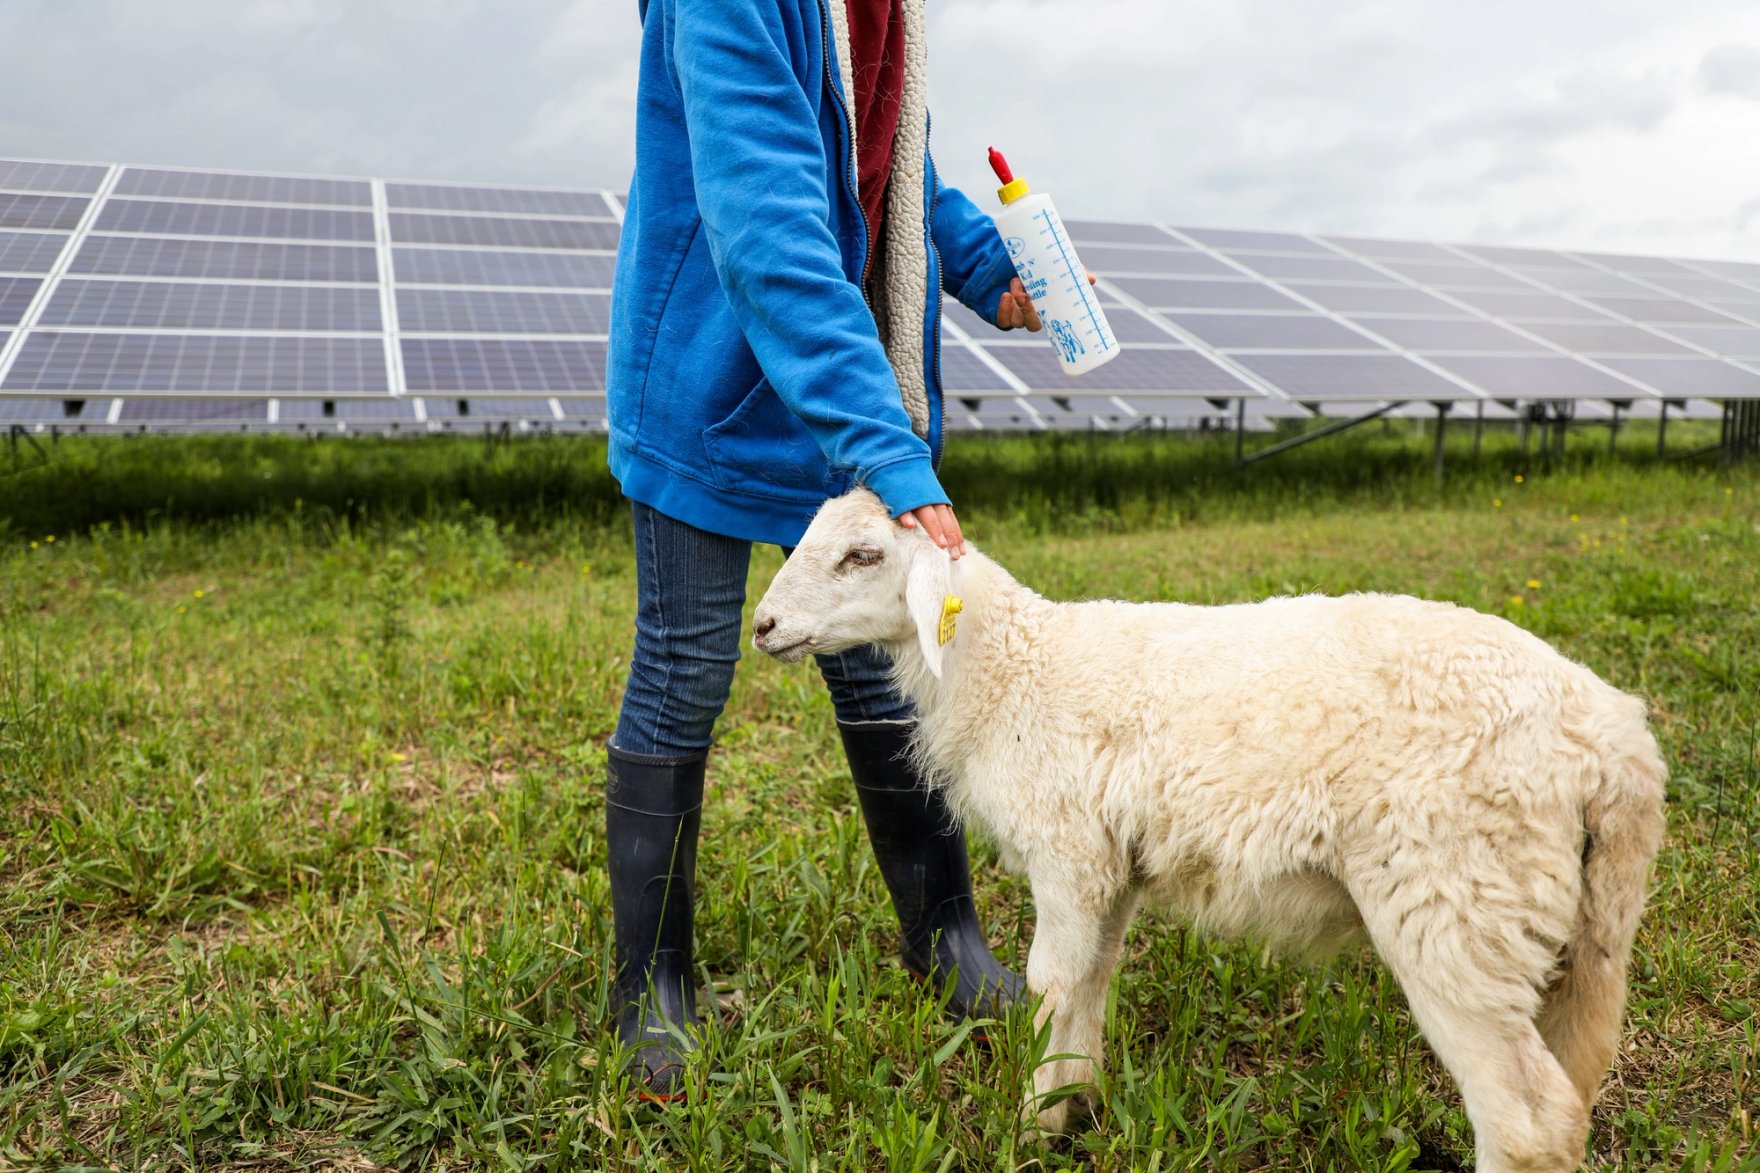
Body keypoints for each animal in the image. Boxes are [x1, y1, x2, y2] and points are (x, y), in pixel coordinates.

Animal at [751, 487, 1666, 1173]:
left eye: (862, 554)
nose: (762, 626)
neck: (1013, 668)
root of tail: (1613, 740)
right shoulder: (1108, 866)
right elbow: (1091, 981)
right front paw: (1075, 1107)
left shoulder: (1065, 850)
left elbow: (1052, 984)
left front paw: (1030, 1129)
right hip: (1577, 923)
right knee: (1569, 1092)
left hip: (1456, 898)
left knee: (1527, 1120)